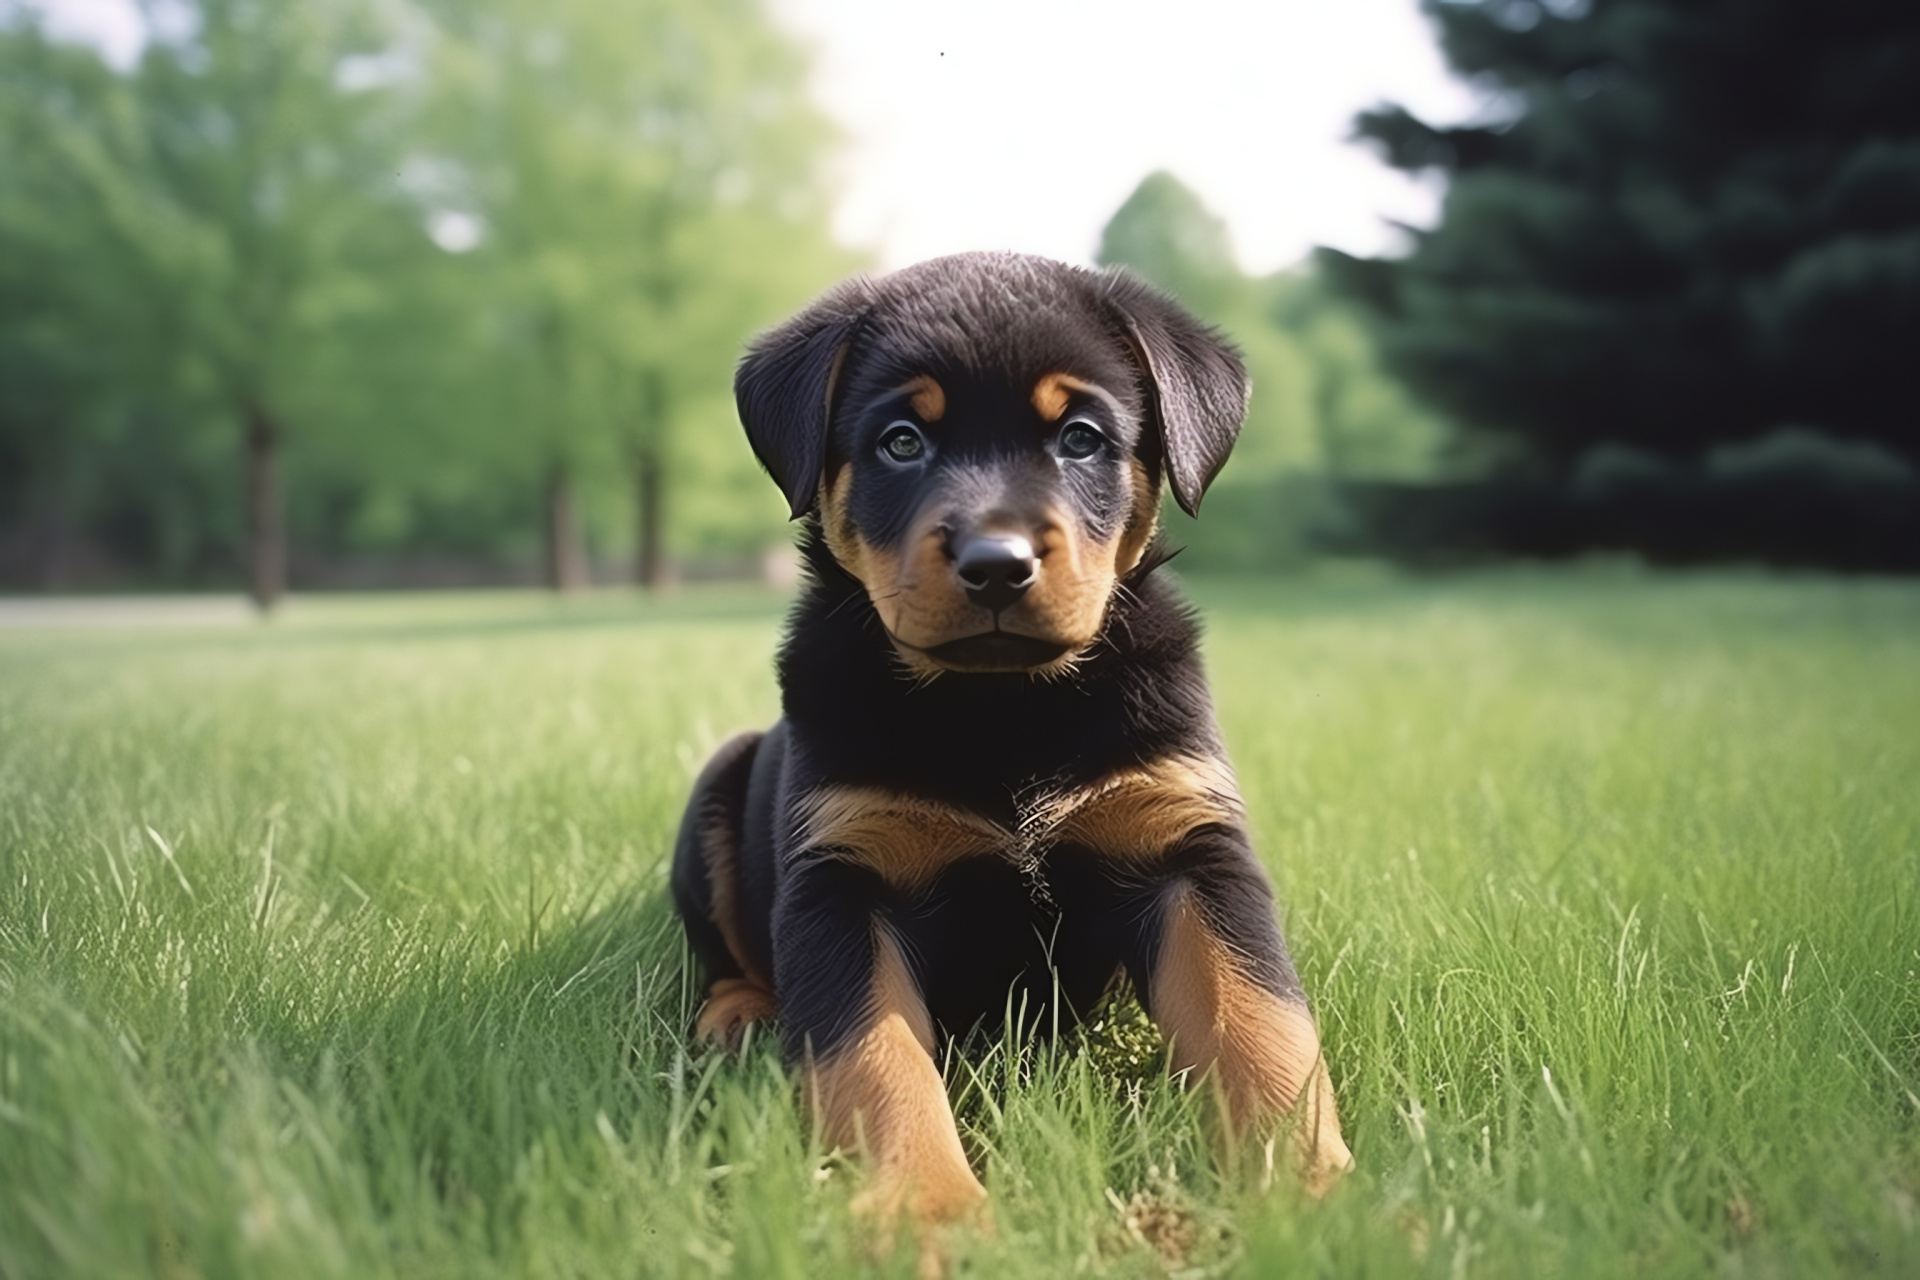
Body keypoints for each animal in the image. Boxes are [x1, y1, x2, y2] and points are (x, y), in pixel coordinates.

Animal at [672, 247, 1351, 1228]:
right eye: (901, 441)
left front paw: (1314, 1197)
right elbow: (875, 1061)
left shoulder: (1189, 847)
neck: (1003, 707)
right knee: (727, 952)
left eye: (1081, 438)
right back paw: (736, 1016)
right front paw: (929, 1214)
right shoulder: (841, 876)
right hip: (719, 789)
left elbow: (1263, 1022)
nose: (996, 563)